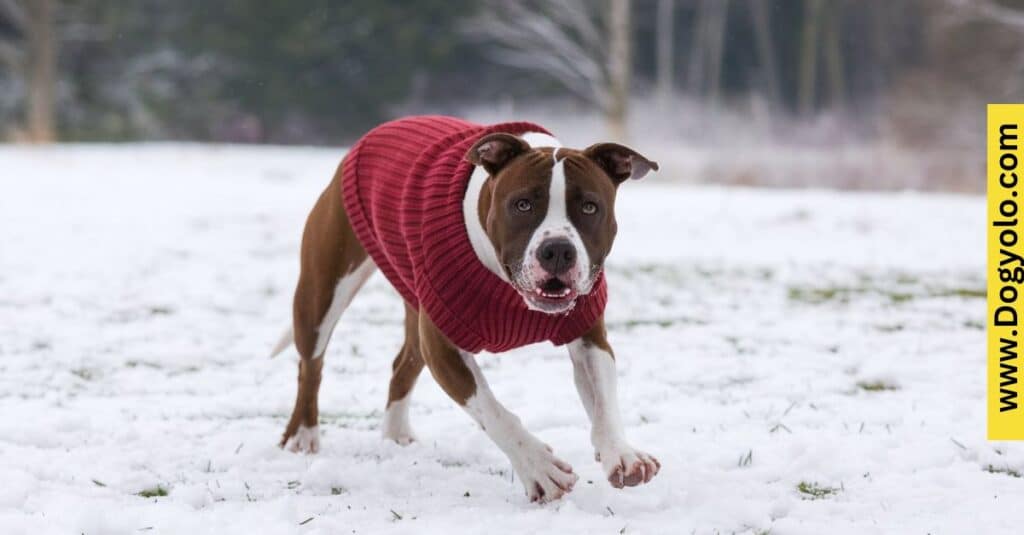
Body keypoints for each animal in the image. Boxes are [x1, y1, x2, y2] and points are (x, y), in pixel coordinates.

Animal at [268, 114, 659, 502]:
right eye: (522, 204)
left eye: (590, 207)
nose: (559, 250)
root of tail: (382, 128)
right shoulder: (444, 346)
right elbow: (493, 411)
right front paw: (539, 469)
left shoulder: (588, 333)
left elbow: (604, 399)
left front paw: (622, 454)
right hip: (322, 291)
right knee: (311, 365)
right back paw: (302, 435)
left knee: (402, 366)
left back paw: (396, 436)